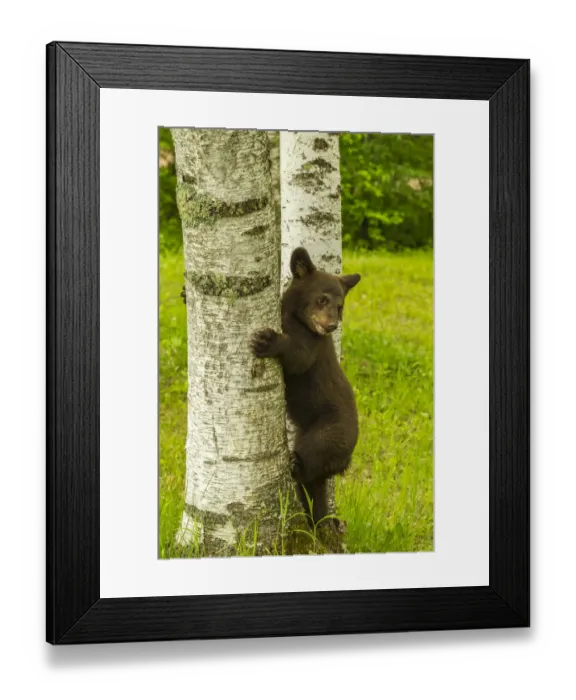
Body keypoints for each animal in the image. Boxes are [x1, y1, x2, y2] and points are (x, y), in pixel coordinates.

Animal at [250, 247, 361, 533]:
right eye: (322, 299)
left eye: (340, 306)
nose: (332, 325)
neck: (295, 318)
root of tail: (345, 461)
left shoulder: (312, 344)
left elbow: (297, 358)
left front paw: (268, 341)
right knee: (313, 490)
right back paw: (317, 522)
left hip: (330, 431)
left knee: (311, 459)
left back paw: (295, 465)